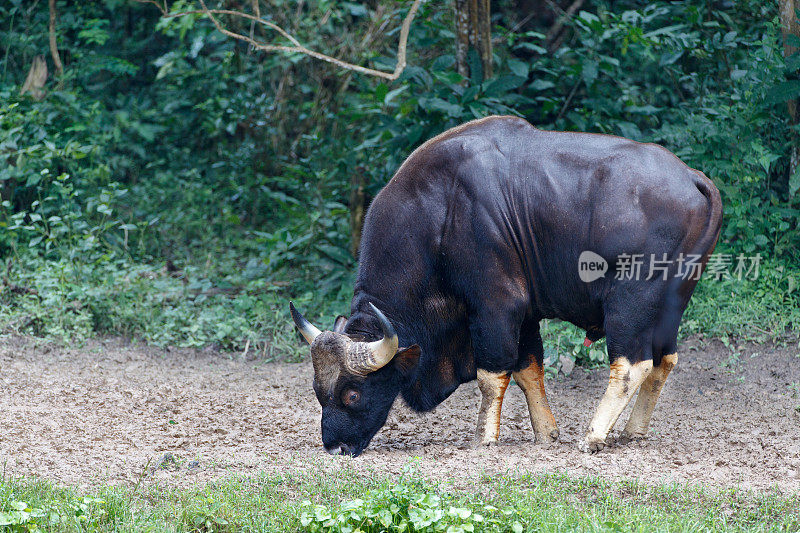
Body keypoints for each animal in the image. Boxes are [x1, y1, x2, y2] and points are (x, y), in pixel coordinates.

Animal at [290, 114, 720, 456]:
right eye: (317, 391)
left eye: (352, 393)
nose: (335, 446)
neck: (436, 216)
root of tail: (693, 178)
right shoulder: (525, 314)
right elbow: (529, 368)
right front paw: (546, 434)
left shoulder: (497, 306)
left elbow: (491, 375)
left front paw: (484, 438)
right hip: (672, 303)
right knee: (664, 360)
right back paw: (633, 432)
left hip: (631, 300)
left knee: (632, 364)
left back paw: (594, 436)